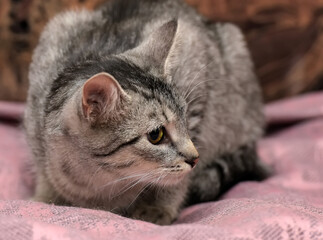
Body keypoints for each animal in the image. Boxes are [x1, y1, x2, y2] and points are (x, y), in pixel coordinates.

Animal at [24, 0, 270, 225]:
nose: (195, 158)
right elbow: (45, 175)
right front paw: (46, 196)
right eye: (156, 135)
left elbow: (177, 183)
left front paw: (157, 206)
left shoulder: (198, 81)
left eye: (184, 119)